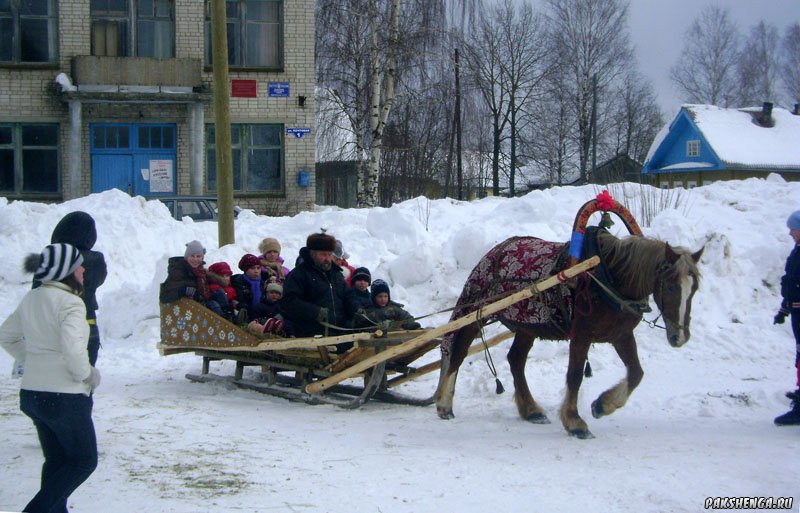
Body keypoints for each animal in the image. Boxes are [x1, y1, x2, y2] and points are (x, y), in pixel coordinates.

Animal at [434, 230, 704, 438]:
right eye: (671, 286)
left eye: (695, 289)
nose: (680, 337)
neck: (609, 278)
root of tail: (495, 250)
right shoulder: (581, 335)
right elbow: (574, 376)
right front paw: (575, 422)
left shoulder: (621, 335)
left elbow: (636, 373)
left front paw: (603, 405)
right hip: (475, 313)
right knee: (458, 352)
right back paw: (445, 403)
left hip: (527, 326)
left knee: (516, 360)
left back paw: (531, 409)